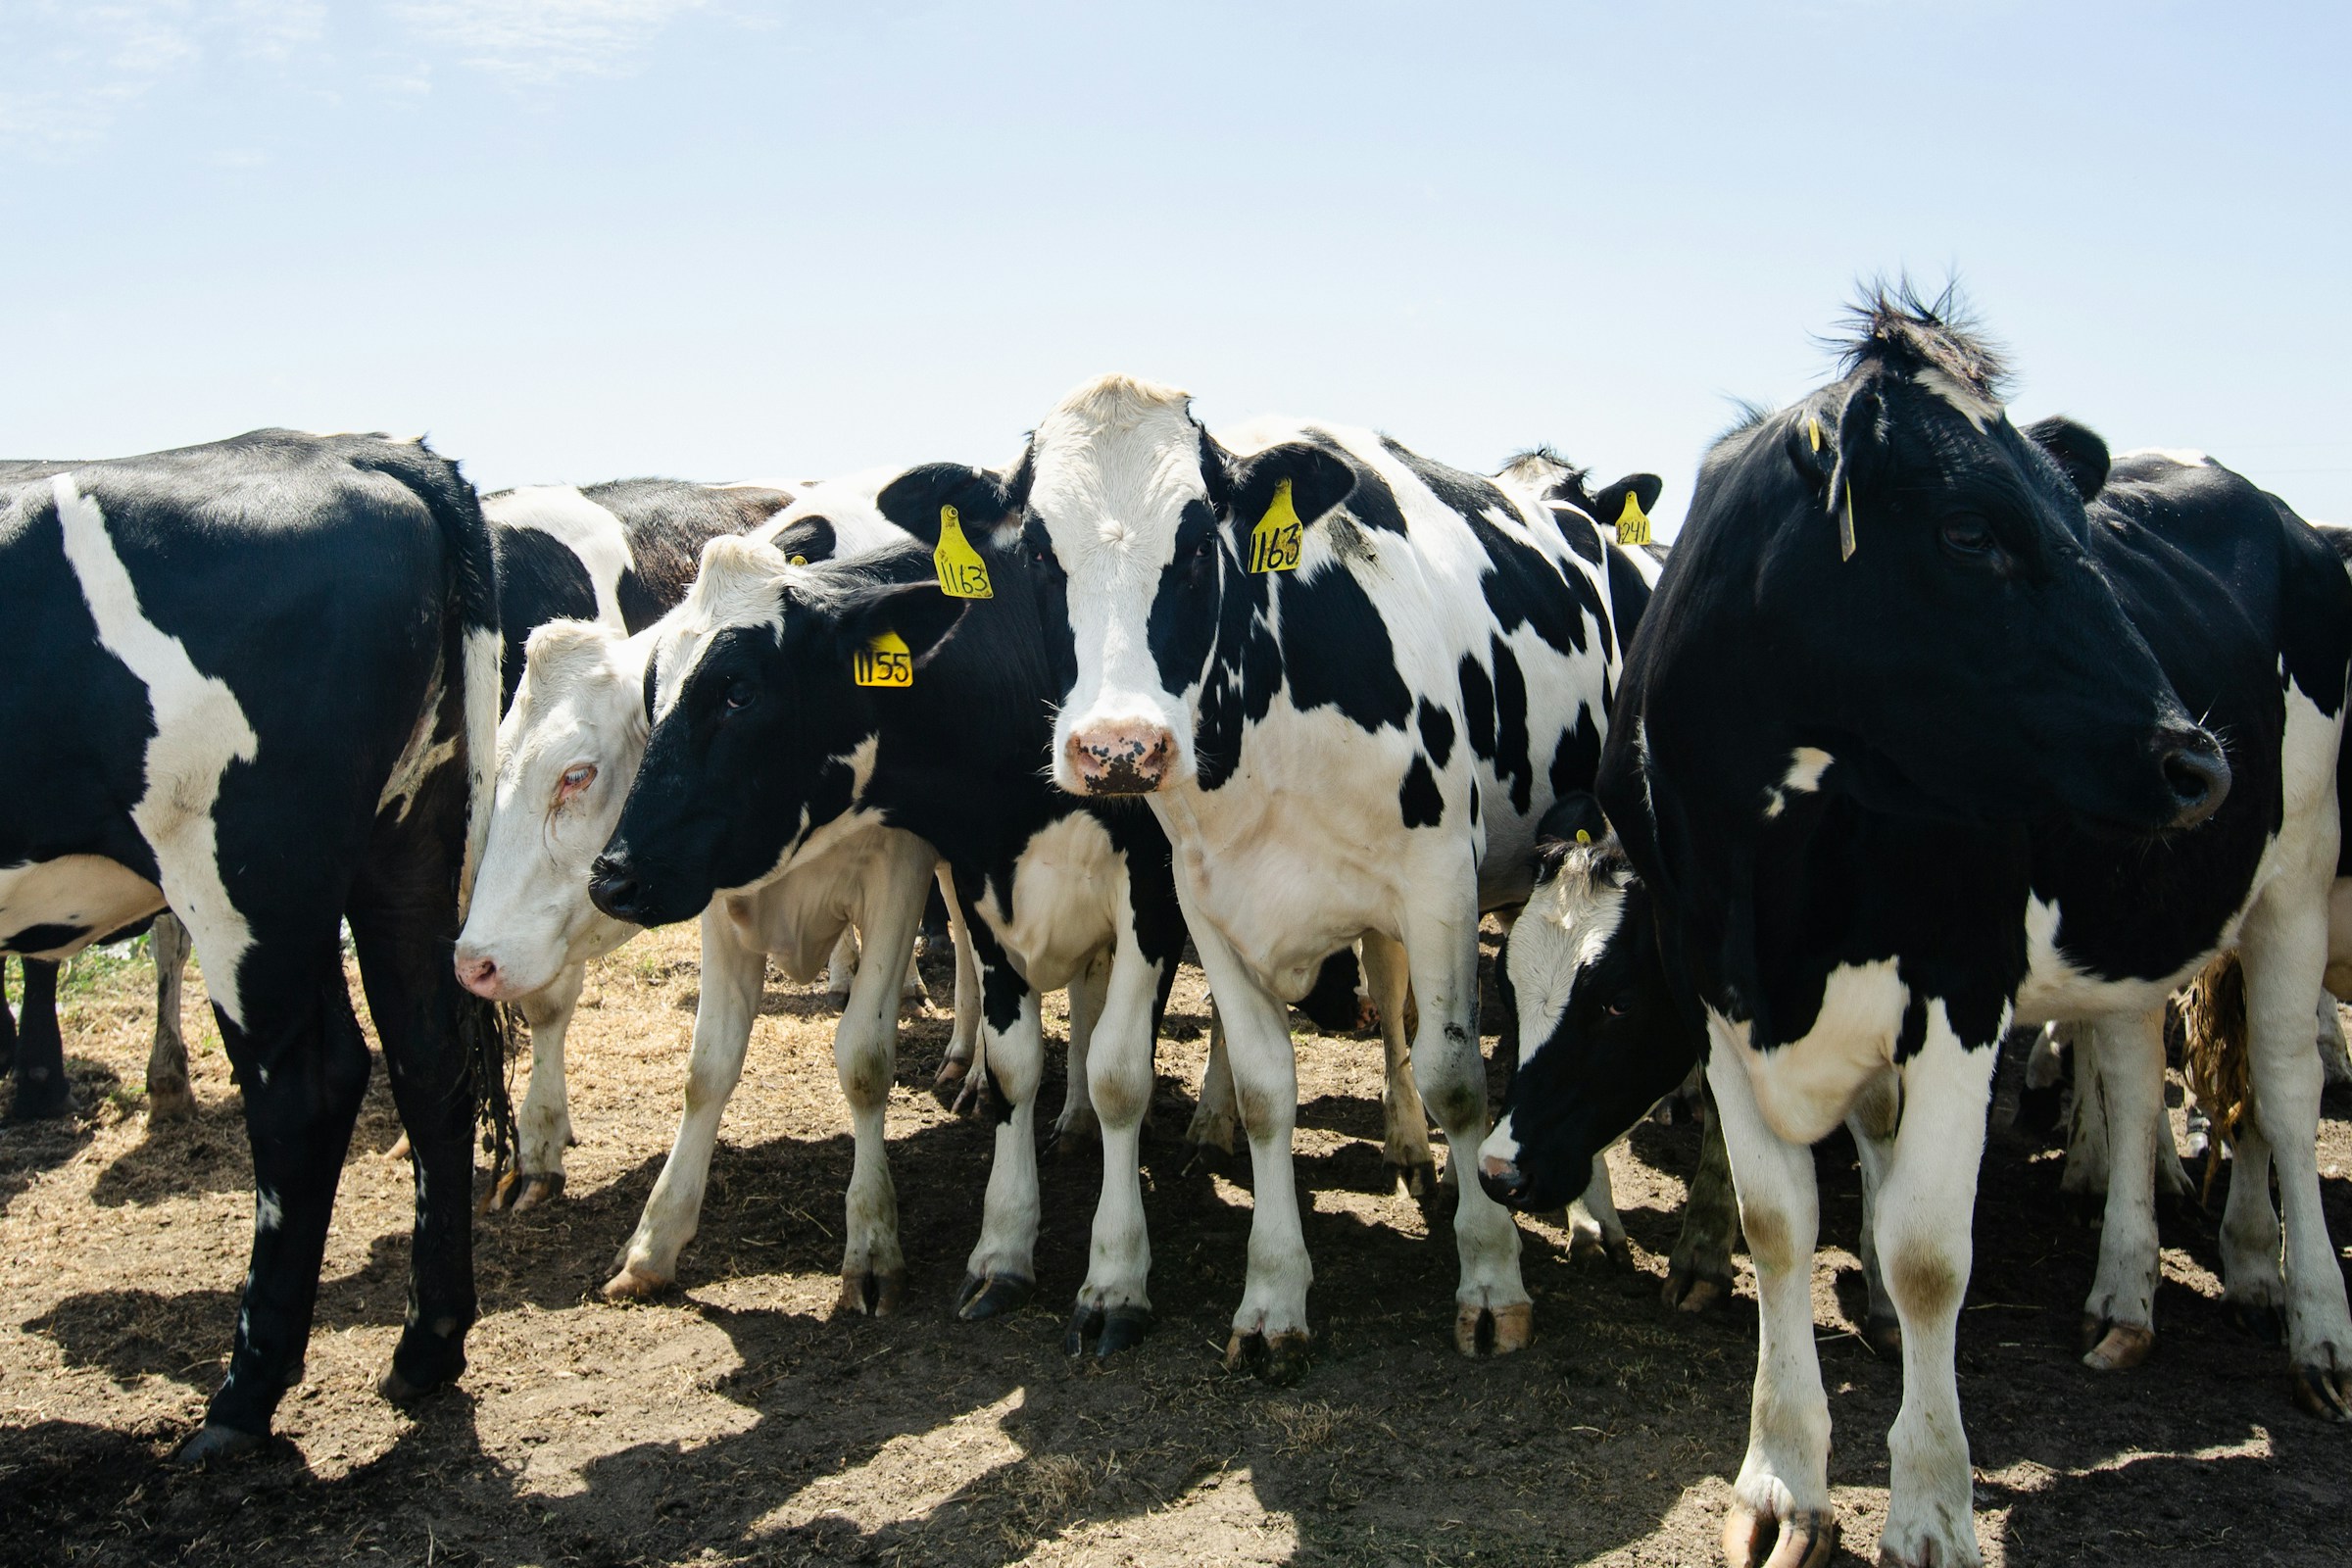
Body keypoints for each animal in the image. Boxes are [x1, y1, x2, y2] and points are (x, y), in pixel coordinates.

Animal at [0, 429, 504, 1462]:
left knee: (306, 1090)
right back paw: (426, 1347)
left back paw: (244, 1396)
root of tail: (352, 449)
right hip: (403, 842)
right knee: (429, 1061)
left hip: (242, 864)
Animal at [455, 469, 986, 1304]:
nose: (471, 961)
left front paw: (871, 1240)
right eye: (497, 764)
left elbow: (864, 1061)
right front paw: (652, 1239)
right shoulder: (711, 891)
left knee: (966, 927)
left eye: (577, 774)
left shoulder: (898, 872)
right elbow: (705, 1069)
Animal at [583, 465, 1205, 1355]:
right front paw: (1004, 1248)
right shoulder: (981, 883)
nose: (613, 876)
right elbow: (1014, 1065)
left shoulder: (1148, 891)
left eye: (738, 691)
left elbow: (1121, 1073)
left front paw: (1115, 1278)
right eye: (651, 689)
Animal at [1016, 375, 1662, 1376]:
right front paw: (1272, 1296)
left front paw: (1491, 1281)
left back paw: (1589, 1216)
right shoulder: (1208, 902)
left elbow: (1456, 1075)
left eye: (1198, 544)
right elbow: (1265, 1091)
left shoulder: (1440, 882)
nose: (1118, 748)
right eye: (1037, 550)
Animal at [1474, 289, 2352, 1568]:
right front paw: (1781, 1481)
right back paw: (2124, 1297)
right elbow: (1783, 1222)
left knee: (2283, 1096)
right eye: (1973, 530)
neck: (1772, 868)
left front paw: (1933, 1505)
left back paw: (2314, 1325)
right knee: (2137, 1076)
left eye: (1614, 995)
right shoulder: (1721, 992)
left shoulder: (1958, 989)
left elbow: (1928, 1252)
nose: (2197, 758)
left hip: (2295, 879)